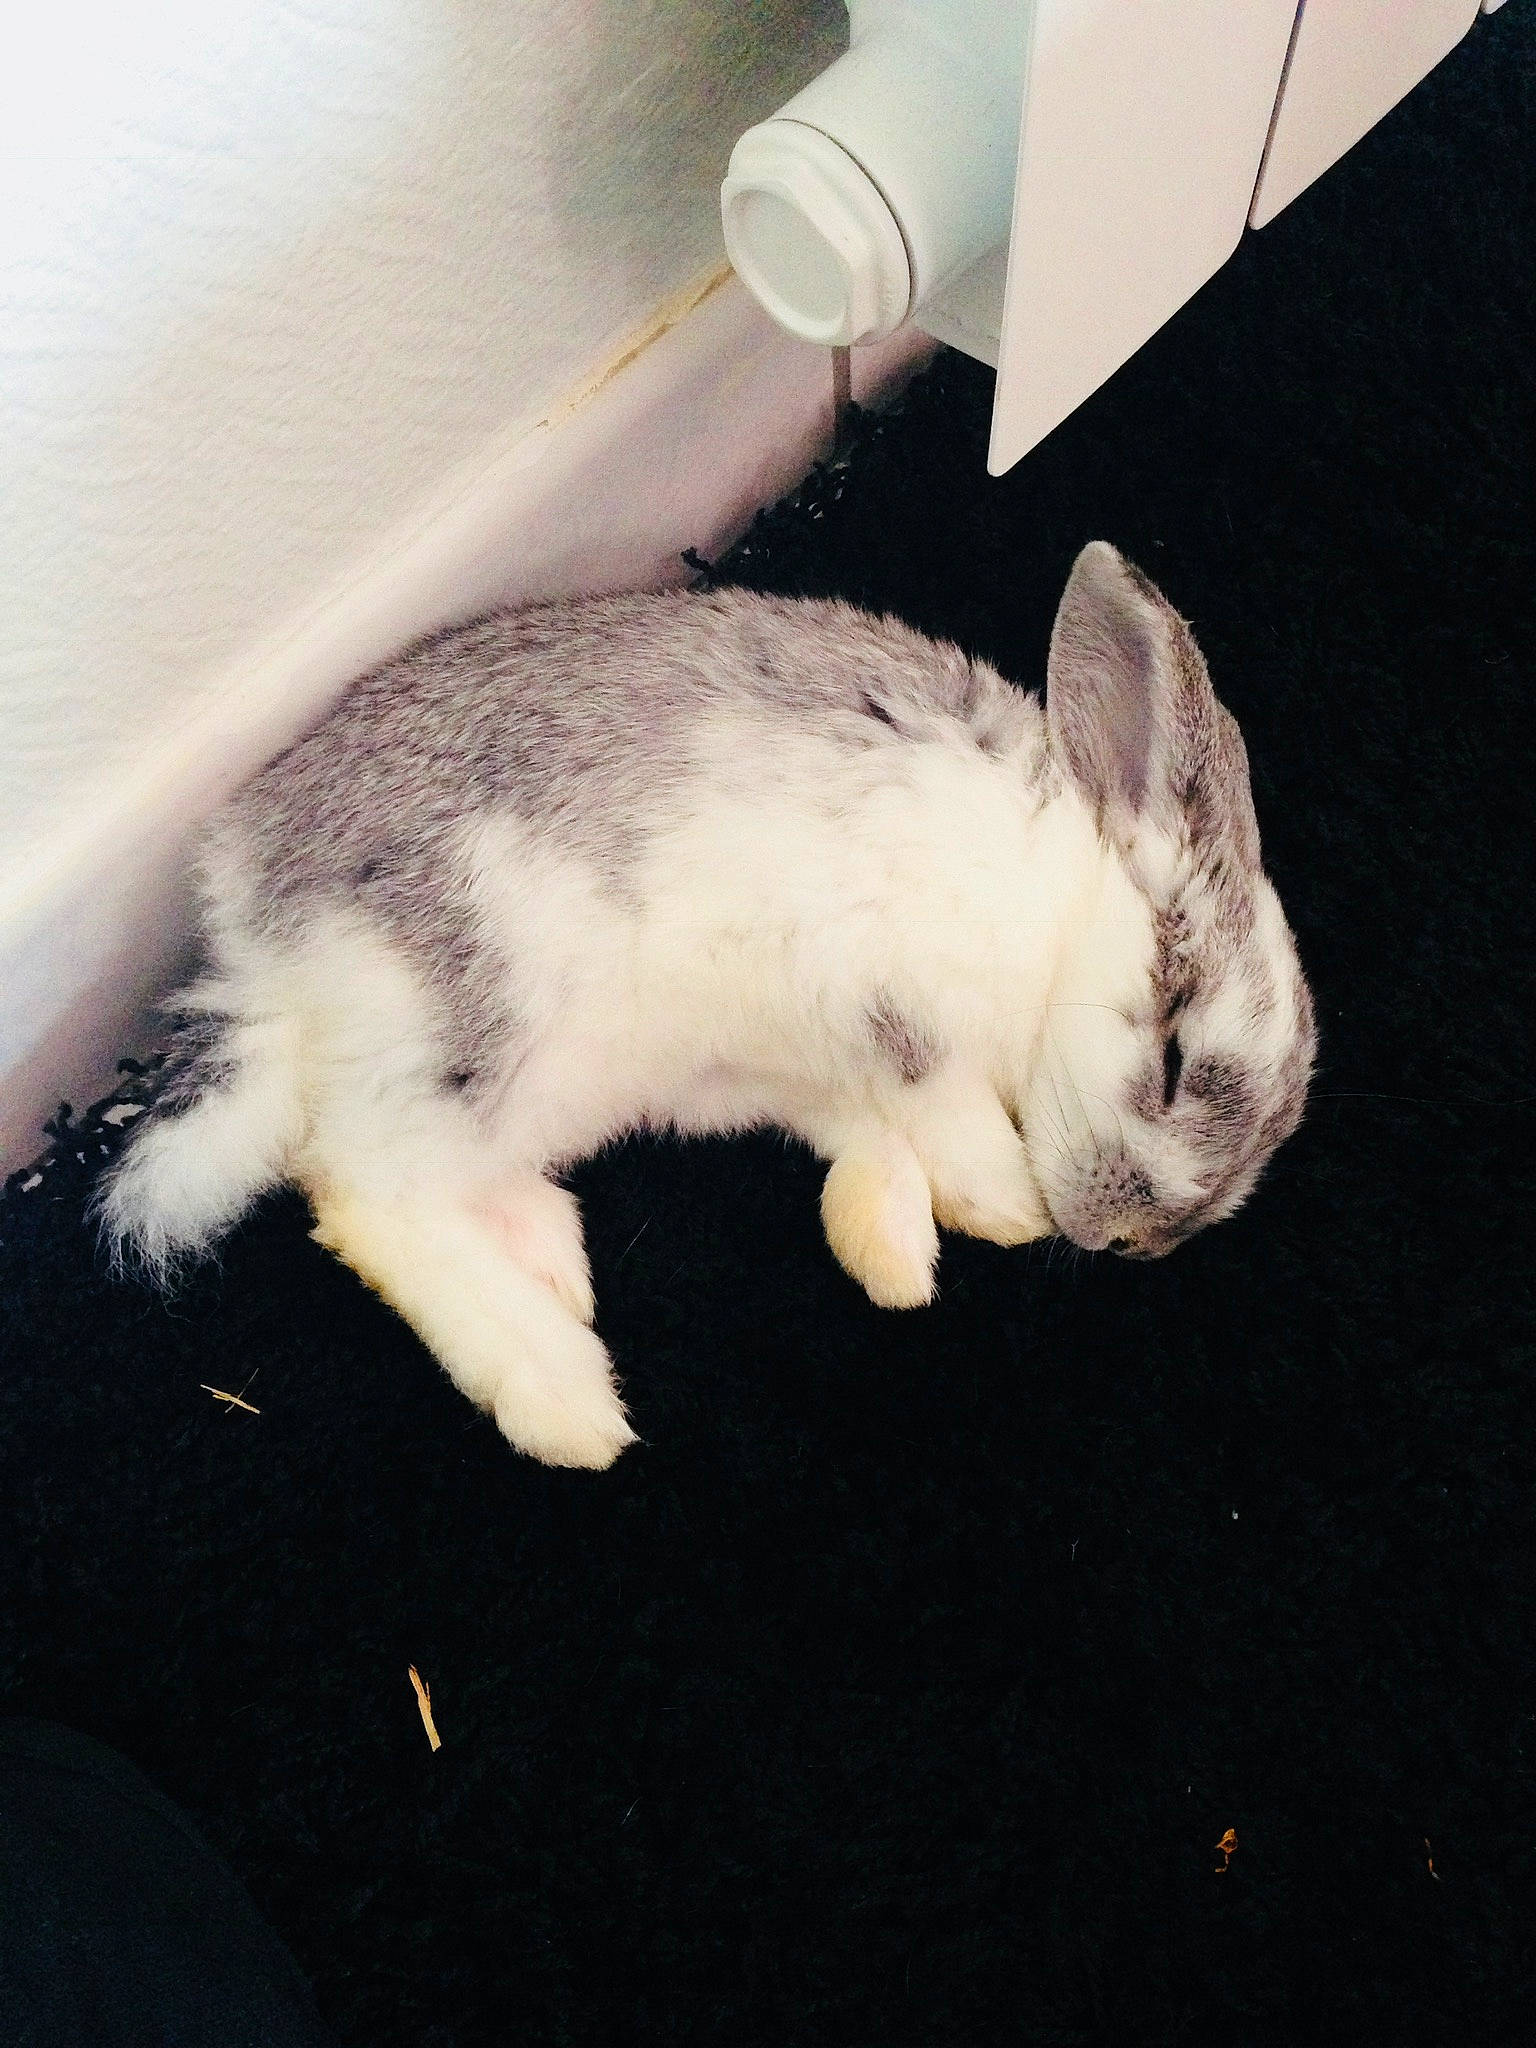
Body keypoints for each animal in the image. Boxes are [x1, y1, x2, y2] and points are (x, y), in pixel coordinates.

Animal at [98, 542, 1316, 1468]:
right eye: (1173, 1059)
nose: (1130, 1243)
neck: (1056, 907)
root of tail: (260, 947)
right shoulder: (883, 990)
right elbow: (940, 1105)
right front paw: (1003, 1204)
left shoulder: (773, 1066)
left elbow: (864, 1138)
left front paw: (892, 1256)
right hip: (491, 1017)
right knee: (363, 1195)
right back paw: (560, 1393)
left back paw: (548, 1251)